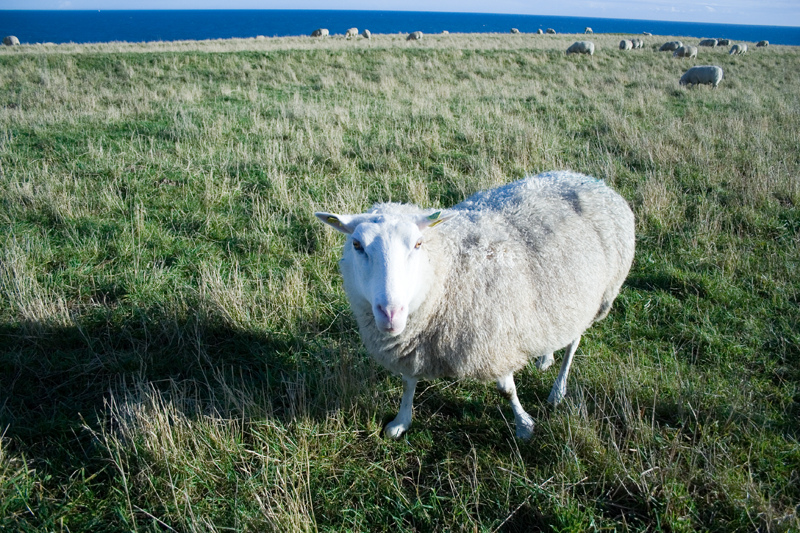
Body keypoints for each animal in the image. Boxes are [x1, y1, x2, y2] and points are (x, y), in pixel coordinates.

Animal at [315, 171, 636, 440]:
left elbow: (506, 389)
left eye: (418, 244)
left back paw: (558, 390)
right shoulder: (414, 343)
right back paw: (545, 357)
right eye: (357, 245)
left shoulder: (495, 336)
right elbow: (409, 382)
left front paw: (524, 425)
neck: (449, 267)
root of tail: (588, 179)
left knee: (574, 341)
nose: (391, 313)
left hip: (594, 295)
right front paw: (400, 422)